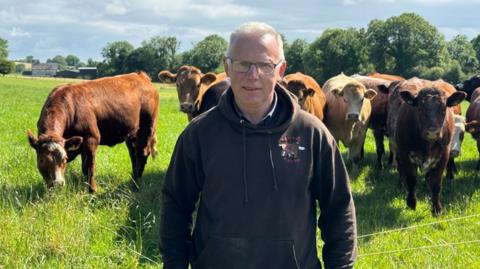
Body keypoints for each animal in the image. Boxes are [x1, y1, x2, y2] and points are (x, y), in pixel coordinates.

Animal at [27, 71, 158, 193]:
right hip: (131, 134)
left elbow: (89, 168)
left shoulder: (91, 138)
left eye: (64, 159)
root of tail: (140, 75)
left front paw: (92, 191)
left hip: (147, 126)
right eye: (41, 160)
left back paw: (136, 184)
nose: (58, 184)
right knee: (134, 154)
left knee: (142, 153)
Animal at [386, 77, 464, 214]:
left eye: (444, 109)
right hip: (395, 147)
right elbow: (411, 181)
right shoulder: (405, 153)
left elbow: (436, 183)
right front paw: (411, 203)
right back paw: (401, 184)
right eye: (420, 108)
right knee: (401, 169)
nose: (432, 131)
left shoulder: (444, 155)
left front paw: (436, 208)